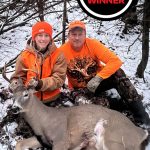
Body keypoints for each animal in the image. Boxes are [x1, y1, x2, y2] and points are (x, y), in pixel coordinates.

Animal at [1, 66, 148, 150]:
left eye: (26, 94)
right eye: (13, 95)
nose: (14, 108)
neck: (43, 121)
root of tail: (141, 133)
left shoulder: (62, 139)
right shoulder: (41, 139)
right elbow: (19, 144)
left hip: (114, 139)